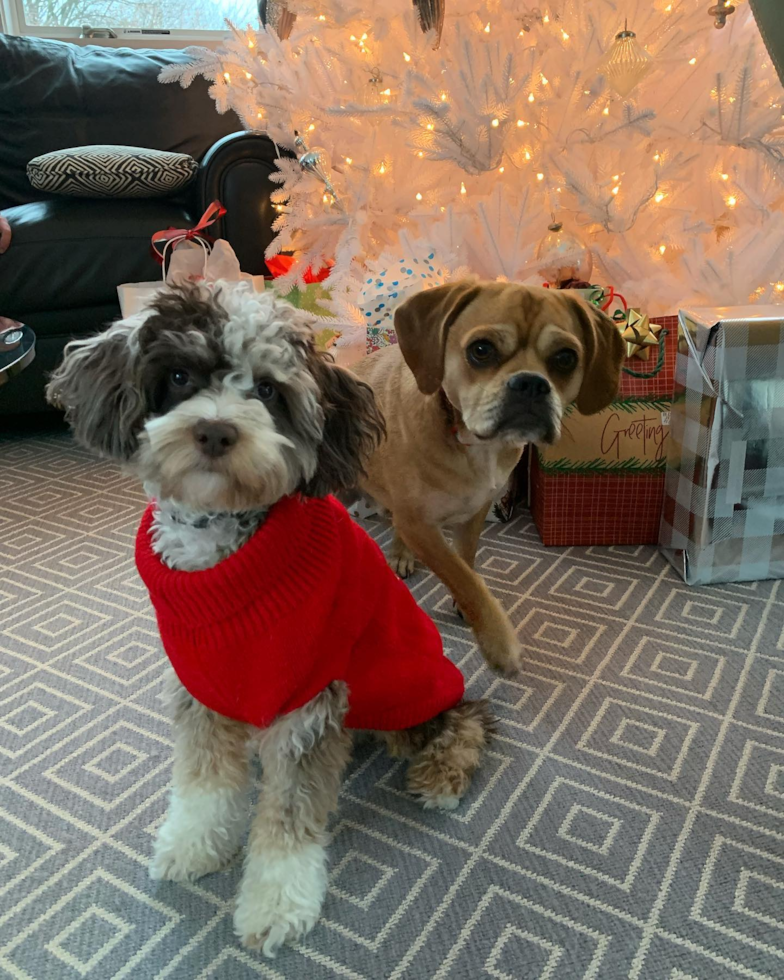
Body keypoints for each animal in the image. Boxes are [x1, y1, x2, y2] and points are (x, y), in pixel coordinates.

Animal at [354, 280, 624, 668]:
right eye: (481, 350)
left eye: (566, 358)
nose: (531, 384)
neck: (471, 444)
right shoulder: (421, 525)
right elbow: (461, 576)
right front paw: (499, 641)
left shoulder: (474, 511)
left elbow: (467, 562)